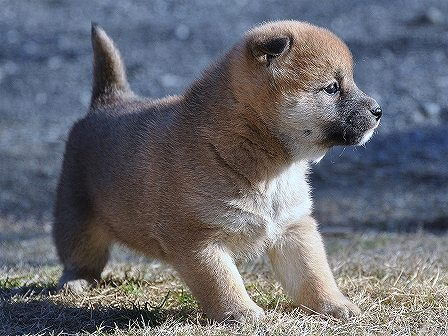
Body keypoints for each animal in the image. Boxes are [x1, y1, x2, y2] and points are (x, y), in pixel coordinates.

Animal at [52, 19, 382, 322]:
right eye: (332, 88)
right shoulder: (199, 240)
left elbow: (314, 275)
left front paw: (334, 305)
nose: (378, 111)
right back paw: (76, 281)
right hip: (77, 217)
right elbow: (222, 282)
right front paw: (241, 312)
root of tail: (108, 101)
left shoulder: (294, 228)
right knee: (79, 255)